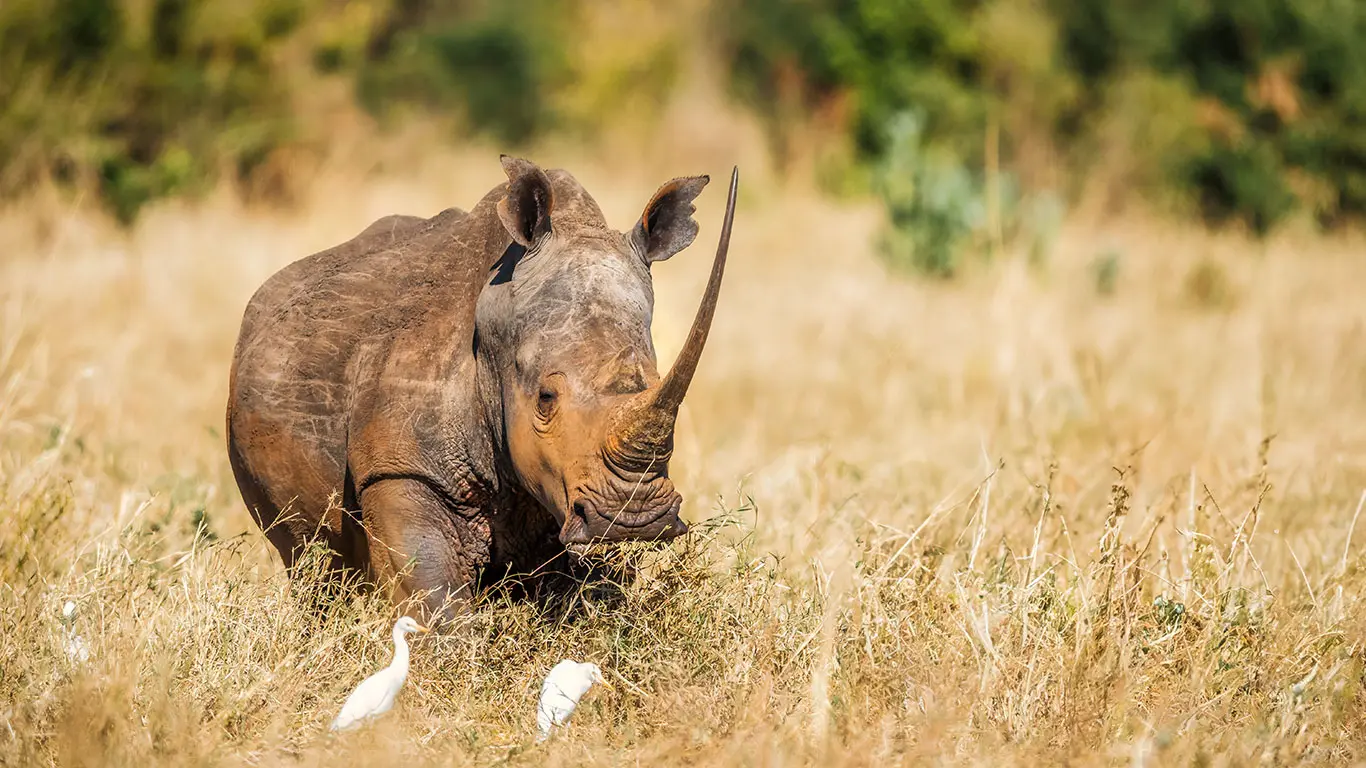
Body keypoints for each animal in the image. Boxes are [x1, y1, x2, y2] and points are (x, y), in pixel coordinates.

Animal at [226, 156, 737, 623]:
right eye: (545, 400)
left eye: (654, 385)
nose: (634, 520)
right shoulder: (398, 468)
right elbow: (431, 596)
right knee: (308, 562)